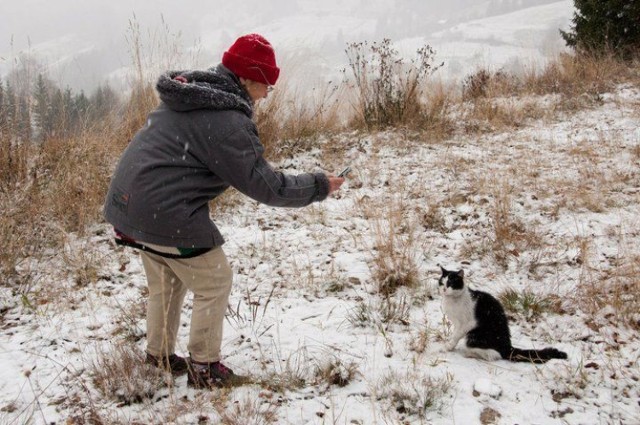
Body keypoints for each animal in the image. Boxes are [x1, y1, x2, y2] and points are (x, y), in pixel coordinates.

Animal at [438, 264, 568, 362]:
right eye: (442, 283)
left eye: (450, 284)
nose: (444, 289)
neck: (452, 301)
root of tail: (508, 347)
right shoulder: (456, 323)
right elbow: (454, 334)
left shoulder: (467, 323)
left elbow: (456, 336)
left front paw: (448, 346)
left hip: (474, 336)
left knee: (494, 355)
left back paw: (471, 354)